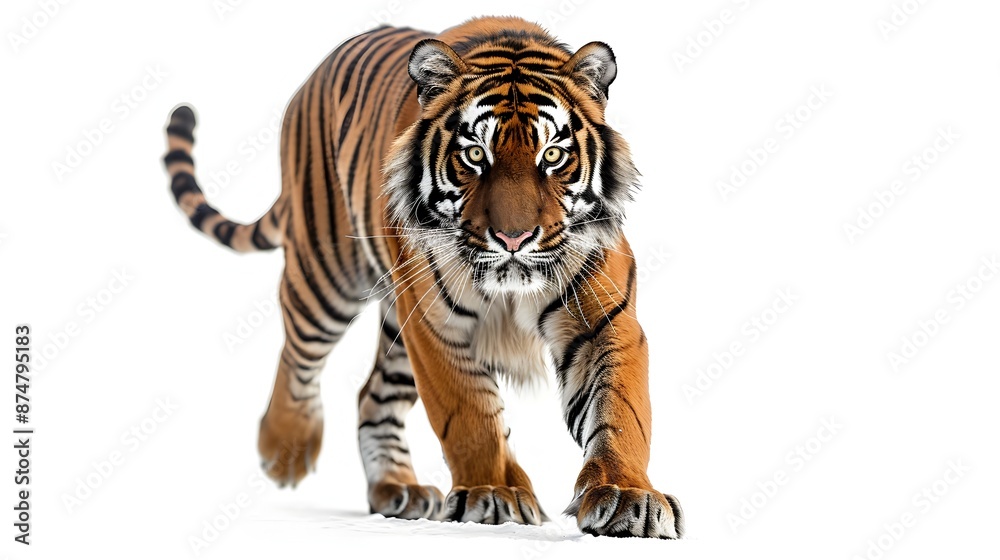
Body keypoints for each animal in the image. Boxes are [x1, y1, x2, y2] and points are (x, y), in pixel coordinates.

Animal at [162, 16, 683, 538]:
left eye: (553, 155)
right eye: (475, 155)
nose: (513, 238)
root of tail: (313, 76)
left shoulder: (604, 324)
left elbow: (620, 411)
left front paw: (627, 496)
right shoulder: (435, 328)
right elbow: (471, 414)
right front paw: (494, 491)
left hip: (394, 328)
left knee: (371, 397)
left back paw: (397, 489)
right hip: (327, 276)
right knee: (298, 355)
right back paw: (286, 448)